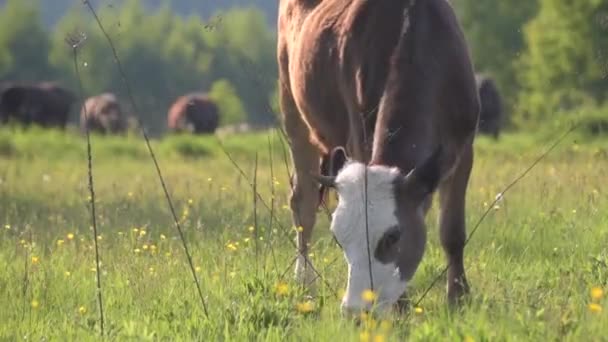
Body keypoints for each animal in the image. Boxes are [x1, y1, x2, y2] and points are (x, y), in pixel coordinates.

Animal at [278, 0, 482, 316]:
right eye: (338, 238)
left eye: (392, 236)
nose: (354, 311)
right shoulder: (358, 136)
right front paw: (402, 307)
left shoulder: (464, 148)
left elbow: (452, 232)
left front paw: (458, 299)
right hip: (293, 111)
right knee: (303, 205)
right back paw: (304, 284)